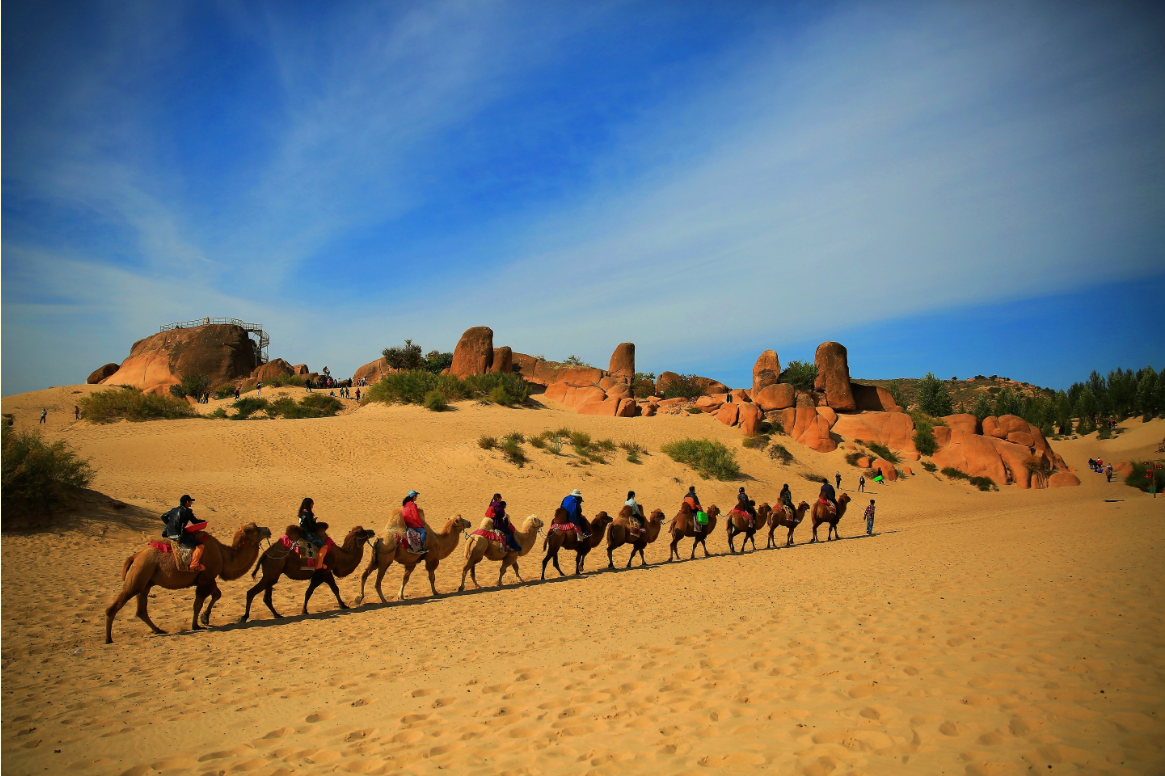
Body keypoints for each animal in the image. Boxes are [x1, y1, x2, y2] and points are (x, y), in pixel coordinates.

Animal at [102, 521, 270, 643]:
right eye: (255, 529)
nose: (268, 529)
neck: (223, 555)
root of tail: (135, 556)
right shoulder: (205, 578)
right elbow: (198, 603)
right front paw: (196, 625)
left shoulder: (207, 578)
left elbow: (217, 594)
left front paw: (205, 618)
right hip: (140, 573)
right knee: (117, 604)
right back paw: (108, 638)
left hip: (146, 581)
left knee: (141, 609)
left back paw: (158, 630)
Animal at [239, 519, 375, 624]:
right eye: (363, 532)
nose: (372, 531)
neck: (338, 555)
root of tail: (265, 554)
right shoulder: (322, 573)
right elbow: (311, 591)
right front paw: (304, 610)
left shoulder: (326, 573)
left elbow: (333, 589)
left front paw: (343, 605)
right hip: (272, 570)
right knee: (251, 592)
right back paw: (244, 617)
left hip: (272, 573)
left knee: (267, 595)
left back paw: (277, 615)